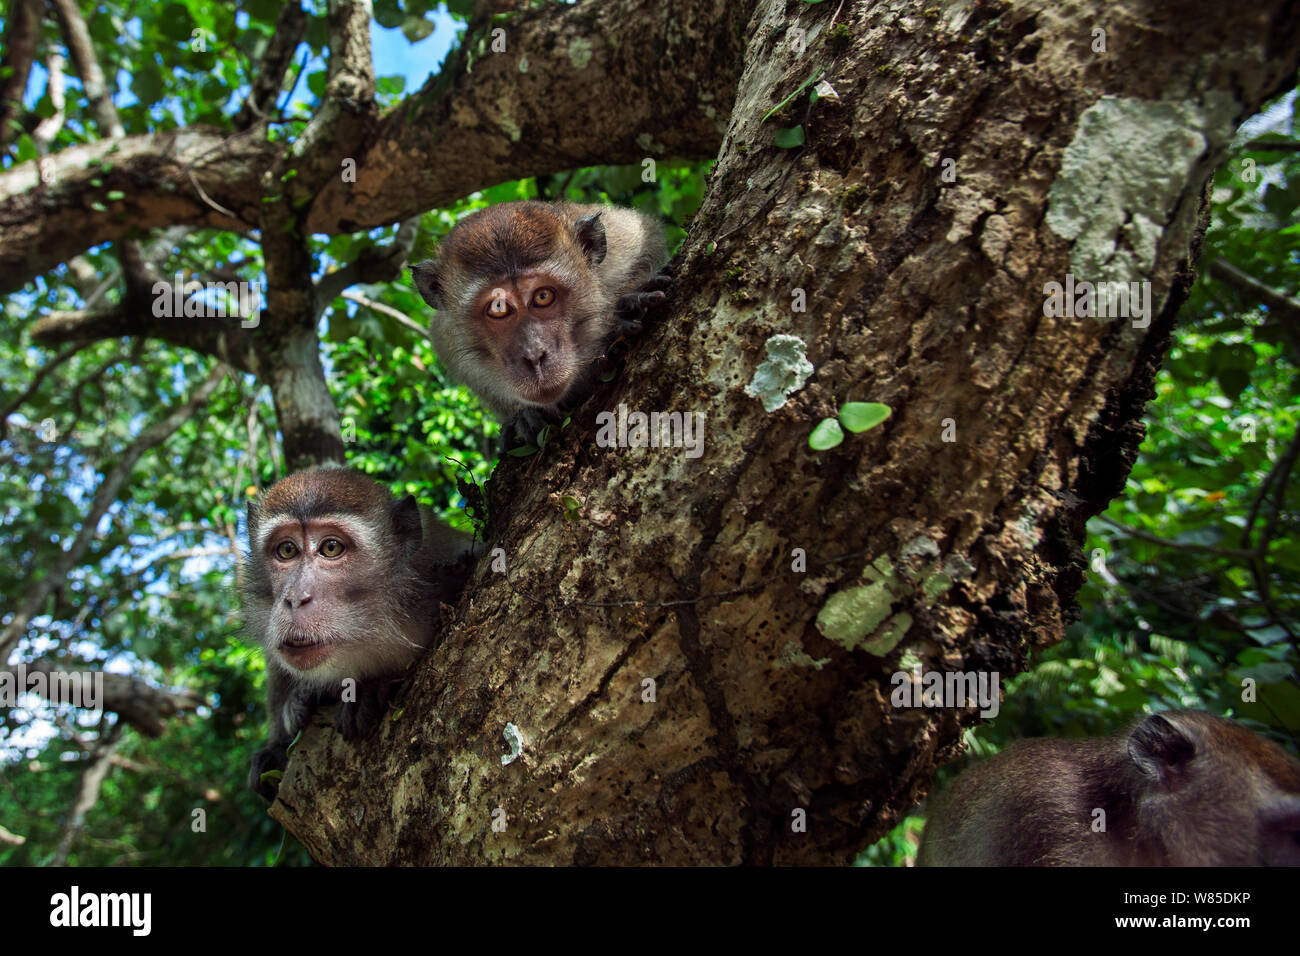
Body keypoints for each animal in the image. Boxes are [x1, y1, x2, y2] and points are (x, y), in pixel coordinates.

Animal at [408, 201, 670, 447]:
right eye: (498, 307)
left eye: (543, 296)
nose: (534, 356)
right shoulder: (446, 338)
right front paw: (522, 416)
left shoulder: (623, 245)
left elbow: (650, 240)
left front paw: (622, 311)